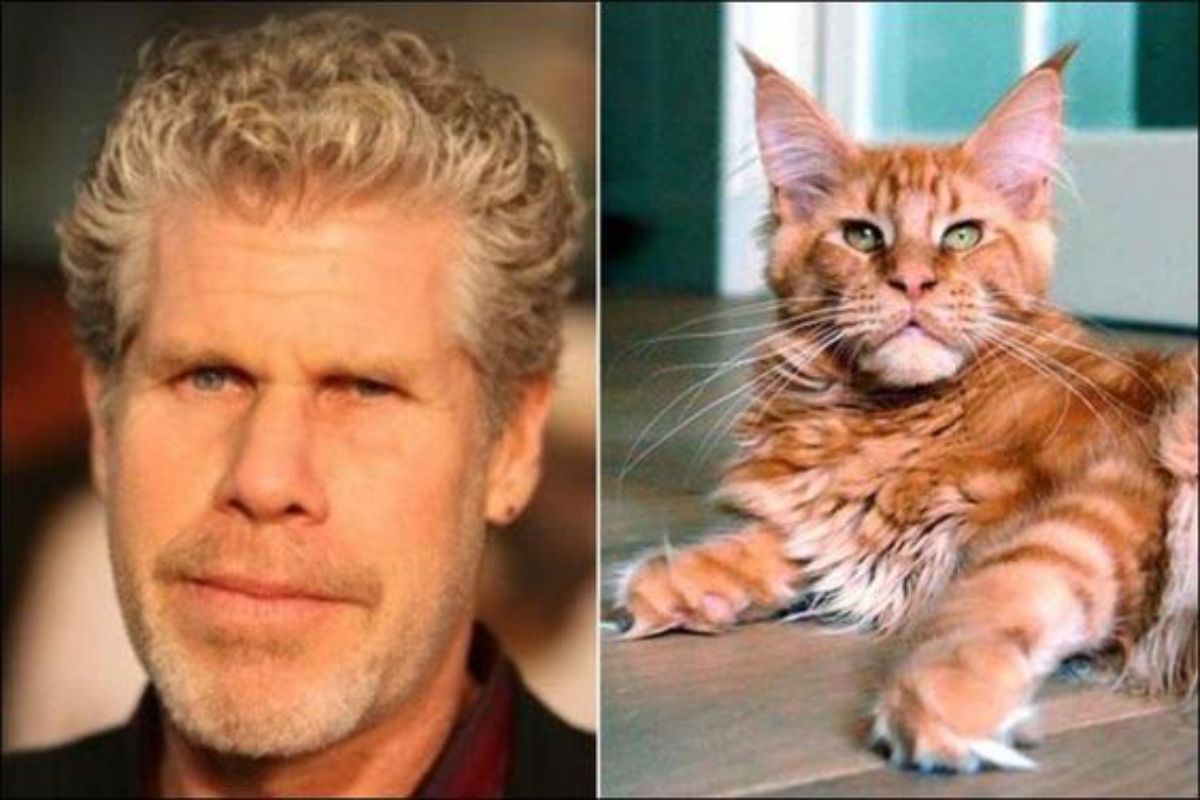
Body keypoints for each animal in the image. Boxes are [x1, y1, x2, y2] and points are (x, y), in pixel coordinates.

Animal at [614, 45, 1195, 777]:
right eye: (863, 236)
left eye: (963, 235)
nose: (913, 281)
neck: (894, 420)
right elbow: (791, 541)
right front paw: (688, 576)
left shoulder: (1120, 484)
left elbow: (1013, 582)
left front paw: (948, 694)